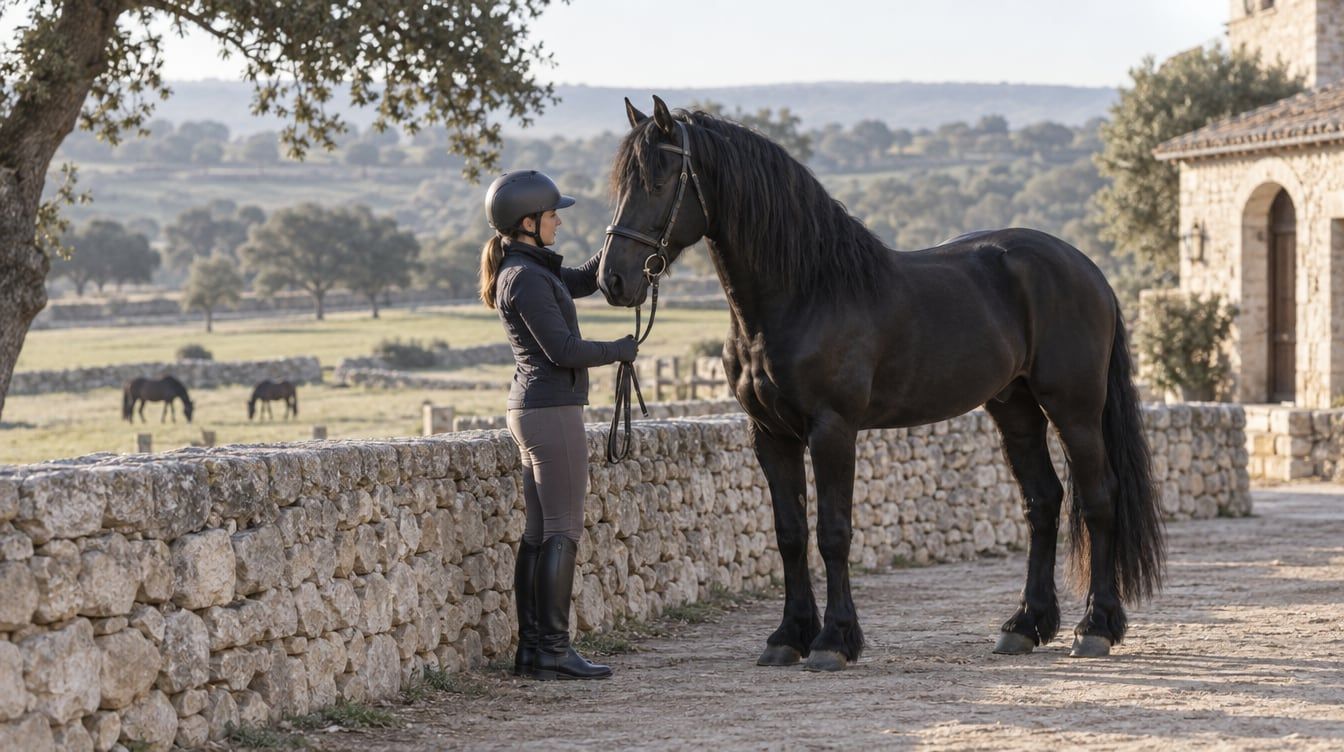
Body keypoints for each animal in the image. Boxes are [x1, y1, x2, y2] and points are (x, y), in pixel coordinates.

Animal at [597, 96, 1165, 671]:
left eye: (659, 181)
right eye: (621, 184)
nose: (612, 280)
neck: (805, 293)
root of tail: (1087, 269)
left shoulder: (833, 429)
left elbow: (833, 532)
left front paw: (834, 640)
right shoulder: (770, 434)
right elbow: (789, 533)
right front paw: (787, 636)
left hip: (1074, 409)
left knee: (1099, 499)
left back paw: (1095, 628)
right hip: (1015, 408)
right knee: (1043, 502)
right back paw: (1024, 625)